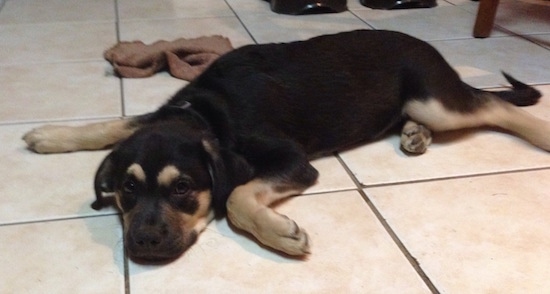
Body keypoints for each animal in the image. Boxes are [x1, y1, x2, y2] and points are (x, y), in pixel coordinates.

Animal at [22, 30, 548, 262]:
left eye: (183, 189)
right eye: (127, 190)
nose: (144, 243)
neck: (206, 115)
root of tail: (434, 50)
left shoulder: (292, 161)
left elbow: (236, 196)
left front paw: (280, 233)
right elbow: (118, 123)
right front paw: (51, 135)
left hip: (434, 98)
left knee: (494, 106)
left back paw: (539, 132)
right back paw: (415, 134)